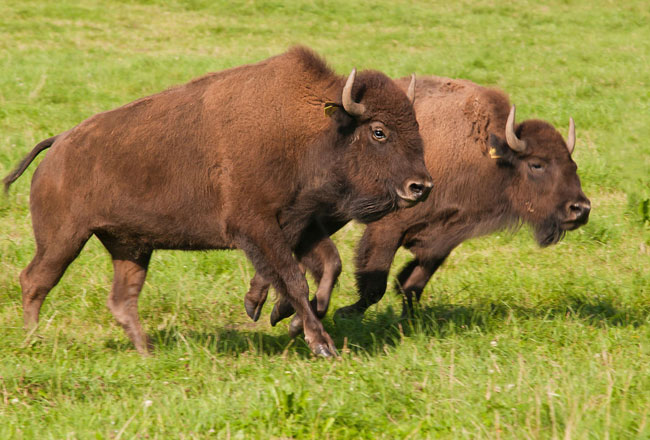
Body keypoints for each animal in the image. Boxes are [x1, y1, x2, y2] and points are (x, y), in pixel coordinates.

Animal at [5, 48, 432, 358]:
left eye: (415, 124)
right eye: (379, 131)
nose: (421, 186)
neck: (312, 129)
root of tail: (59, 142)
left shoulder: (301, 224)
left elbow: (328, 267)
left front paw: (284, 319)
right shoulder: (258, 228)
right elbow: (294, 277)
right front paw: (320, 344)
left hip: (130, 247)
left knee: (122, 299)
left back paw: (147, 352)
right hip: (63, 239)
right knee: (35, 281)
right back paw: (33, 340)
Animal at [243, 74, 588, 332]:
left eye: (573, 164)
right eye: (537, 165)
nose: (580, 209)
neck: (486, 154)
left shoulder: (444, 237)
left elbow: (412, 283)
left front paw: (407, 320)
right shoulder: (389, 228)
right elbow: (375, 284)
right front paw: (343, 313)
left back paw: (270, 306)